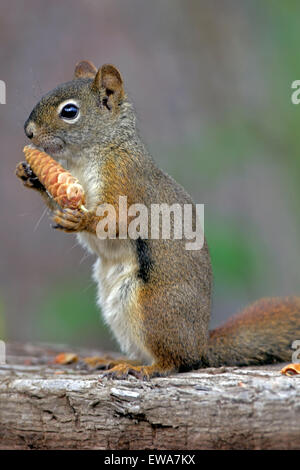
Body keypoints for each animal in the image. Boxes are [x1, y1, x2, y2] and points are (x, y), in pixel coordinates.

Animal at [15, 60, 300, 380]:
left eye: (69, 111)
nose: (28, 131)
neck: (86, 157)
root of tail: (200, 345)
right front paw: (30, 176)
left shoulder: (127, 183)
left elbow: (114, 219)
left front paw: (80, 220)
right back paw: (112, 359)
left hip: (153, 308)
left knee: (174, 361)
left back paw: (143, 368)